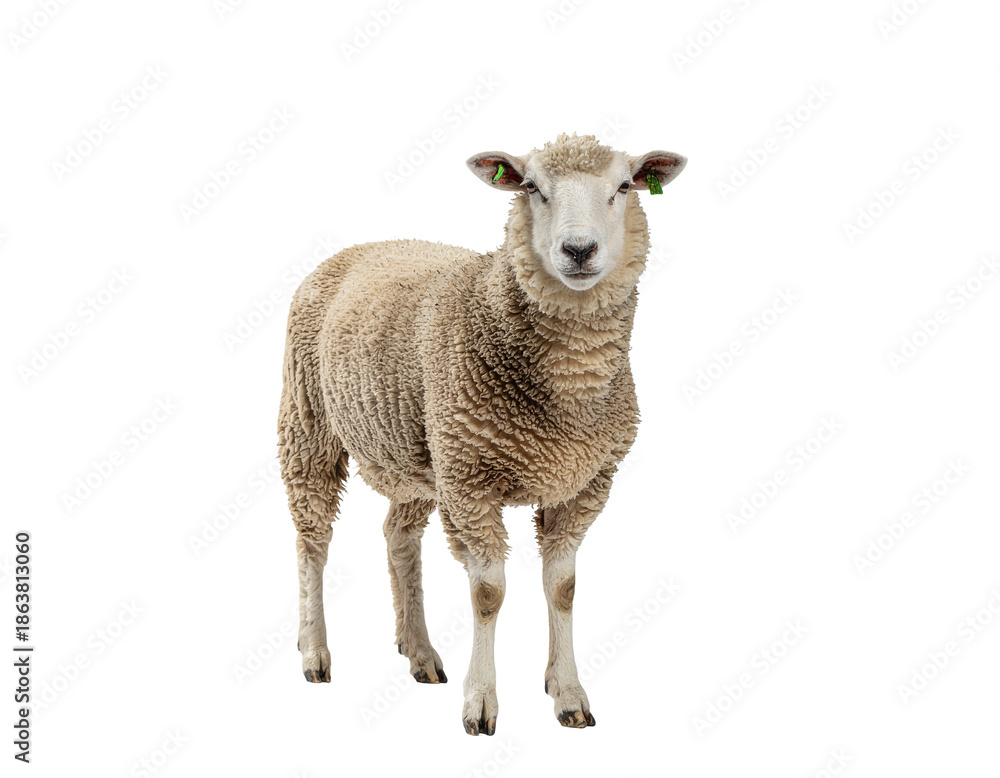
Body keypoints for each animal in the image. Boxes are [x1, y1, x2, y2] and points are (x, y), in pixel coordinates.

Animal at [278, 133, 686, 735]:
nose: (579, 250)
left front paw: (567, 693)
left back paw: (419, 652)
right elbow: (488, 593)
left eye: (624, 187)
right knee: (312, 540)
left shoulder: (584, 484)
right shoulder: (470, 483)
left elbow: (562, 587)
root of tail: (368, 244)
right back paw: (314, 652)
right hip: (310, 422)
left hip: (419, 453)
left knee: (398, 537)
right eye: (533, 188)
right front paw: (481, 703)